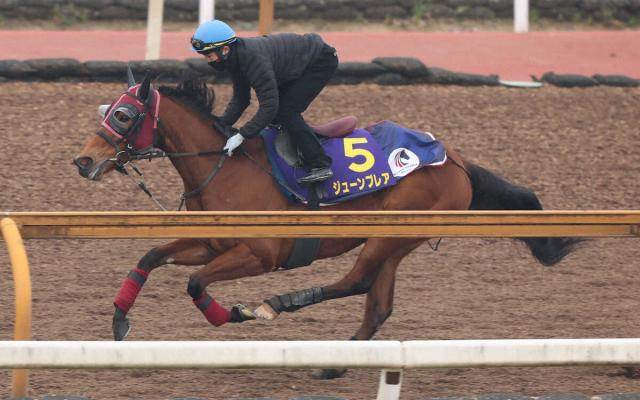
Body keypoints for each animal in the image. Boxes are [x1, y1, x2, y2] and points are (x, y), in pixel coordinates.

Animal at [73, 72, 580, 379]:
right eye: (105, 110)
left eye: (122, 114)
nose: (83, 161)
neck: (225, 166)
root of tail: (454, 158)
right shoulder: (211, 243)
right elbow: (151, 256)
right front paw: (119, 320)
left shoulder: (260, 254)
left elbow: (196, 283)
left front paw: (235, 313)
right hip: (394, 240)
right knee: (376, 304)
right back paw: (335, 364)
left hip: (392, 234)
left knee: (357, 282)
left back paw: (278, 304)